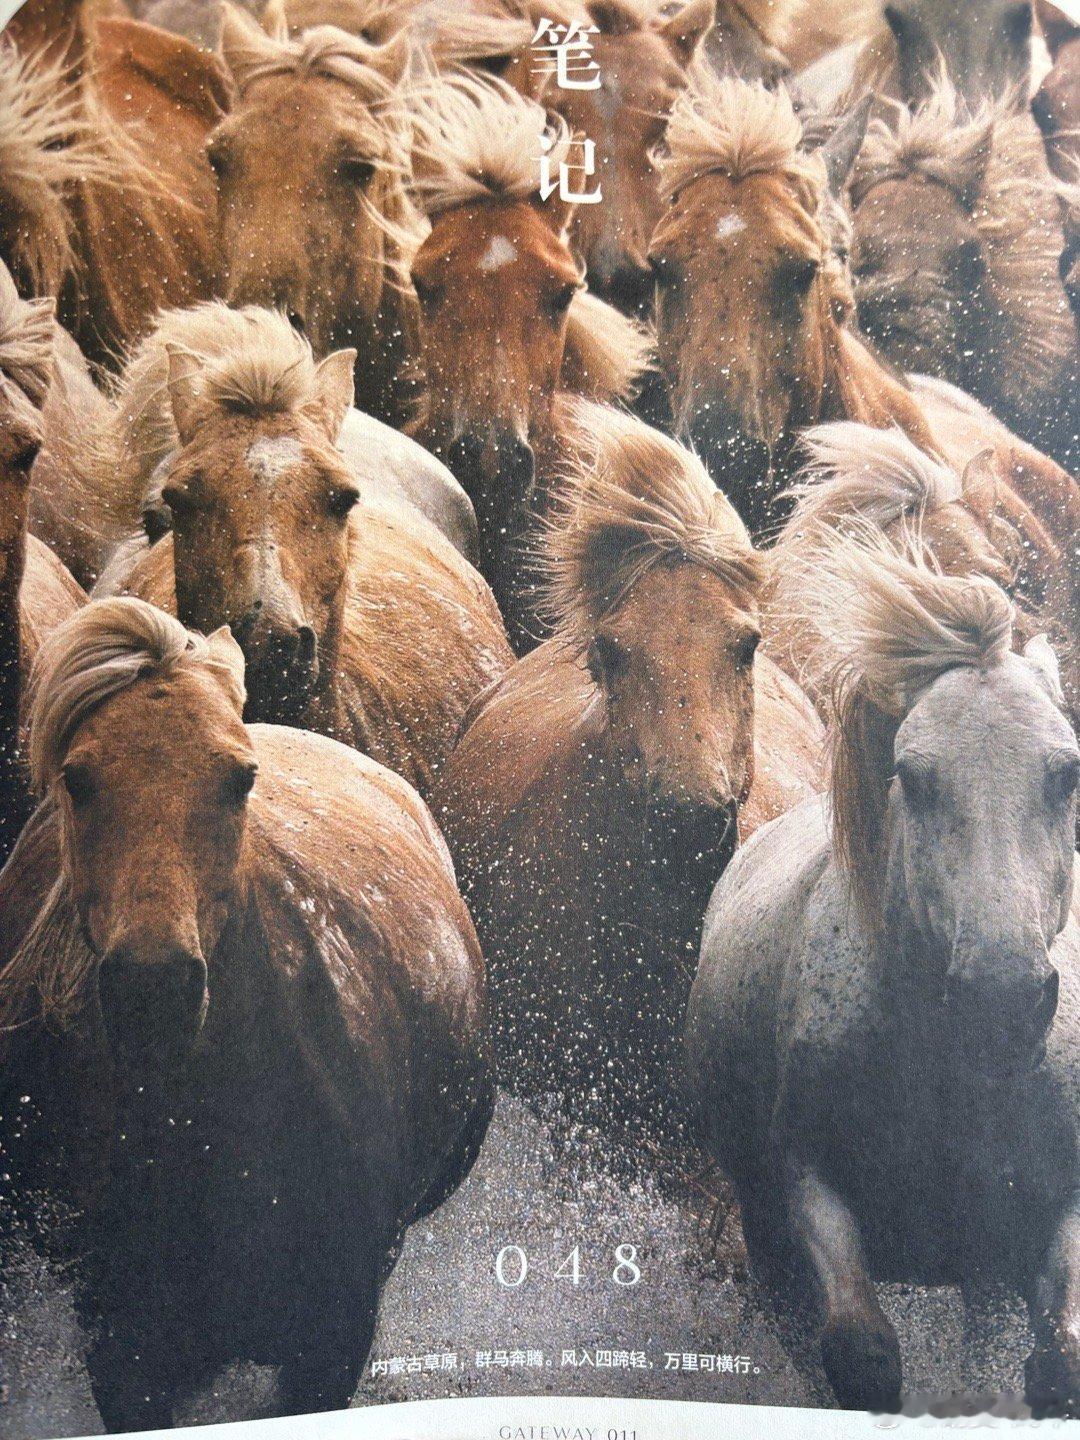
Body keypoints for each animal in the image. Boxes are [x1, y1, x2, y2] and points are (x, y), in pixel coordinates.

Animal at [684, 541, 1080, 1415]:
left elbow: (1060, 1359)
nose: (1001, 996)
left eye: (1066, 773)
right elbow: (859, 1350)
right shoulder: (809, 1185)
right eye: (916, 776)